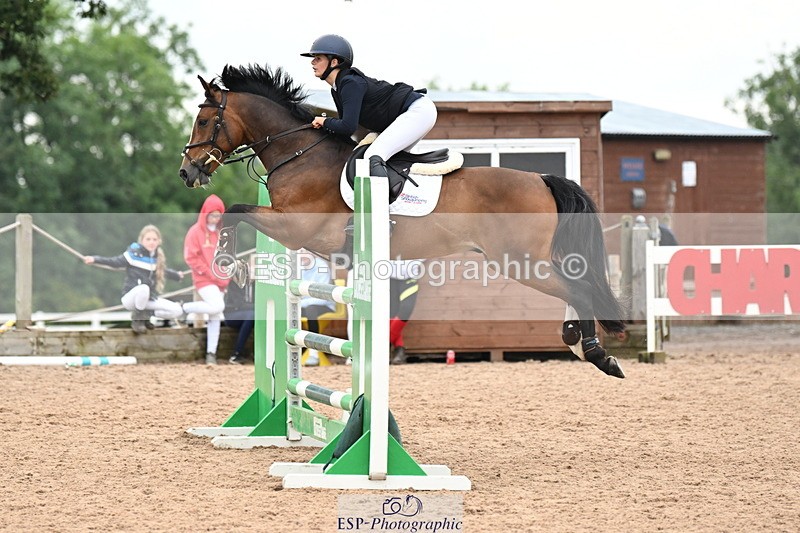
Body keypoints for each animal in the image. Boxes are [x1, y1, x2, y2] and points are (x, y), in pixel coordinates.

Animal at [178, 64, 627, 378]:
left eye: (204, 121)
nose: (187, 172)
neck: (299, 153)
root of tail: (541, 179)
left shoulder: (296, 227)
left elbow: (236, 210)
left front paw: (226, 261)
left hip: (521, 262)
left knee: (579, 287)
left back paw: (597, 353)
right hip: (529, 261)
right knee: (575, 285)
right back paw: (576, 341)